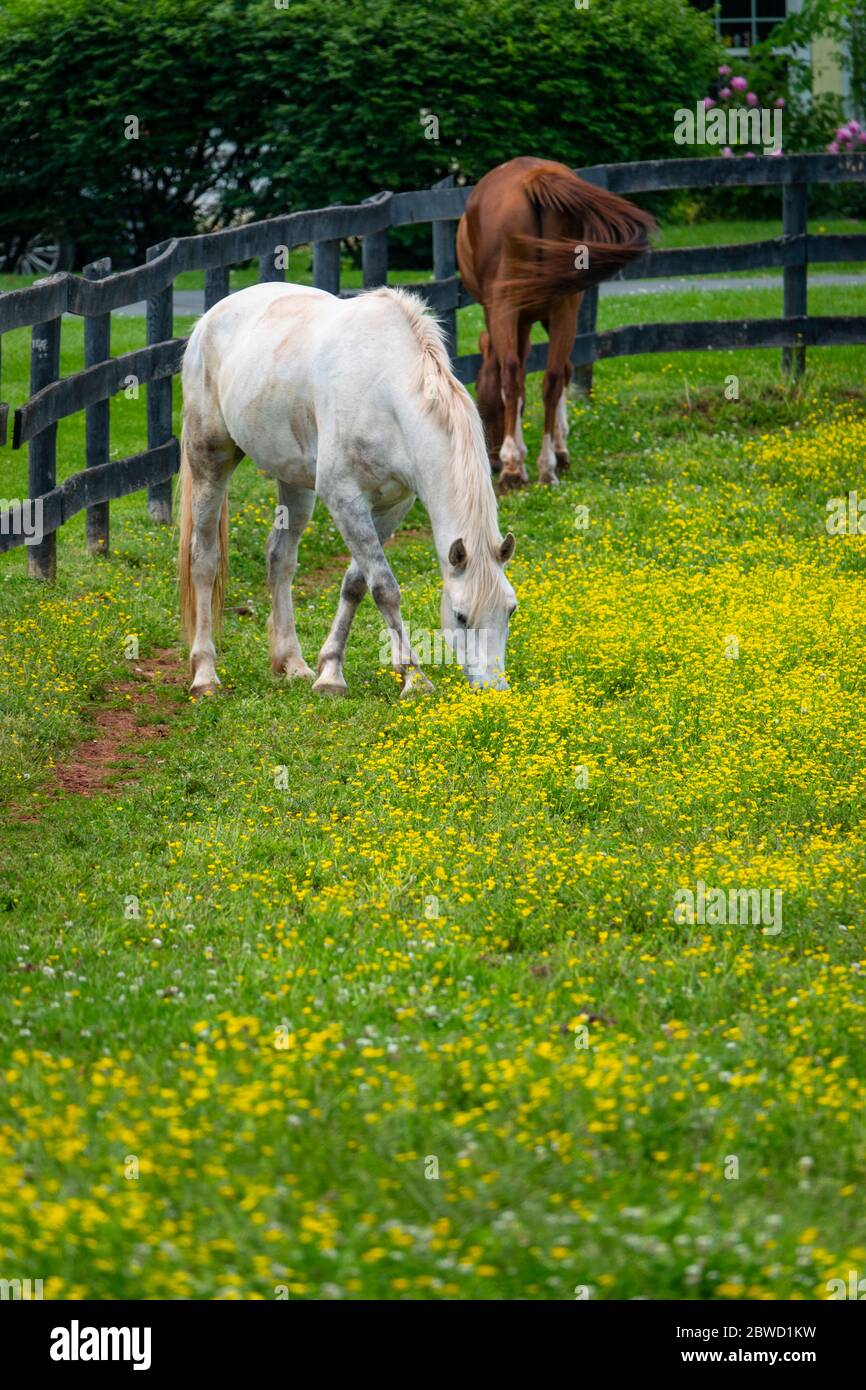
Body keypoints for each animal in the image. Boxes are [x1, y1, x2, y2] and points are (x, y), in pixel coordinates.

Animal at [177, 280, 514, 695]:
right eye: (461, 616)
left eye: (510, 610)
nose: (494, 690)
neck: (387, 393)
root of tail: (208, 319)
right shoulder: (346, 500)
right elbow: (384, 588)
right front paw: (414, 677)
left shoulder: (391, 506)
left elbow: (356, 584)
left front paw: (330, 672)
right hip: (209, 460)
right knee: (204, 559)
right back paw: (205, 674)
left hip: (294, 482)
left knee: (280, 559)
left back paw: (292, 663)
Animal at [458, 157, 653, 489]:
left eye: (482, 402)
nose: (492, 463)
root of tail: (533, 177)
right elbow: (562, 372)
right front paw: (560, 450)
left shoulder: (508, 315)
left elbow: (516, 380)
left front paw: (517, 456)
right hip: (564, 307)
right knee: (552, 377)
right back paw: (547, 465)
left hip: (505, 305)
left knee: (512, 374)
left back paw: (515, 467)